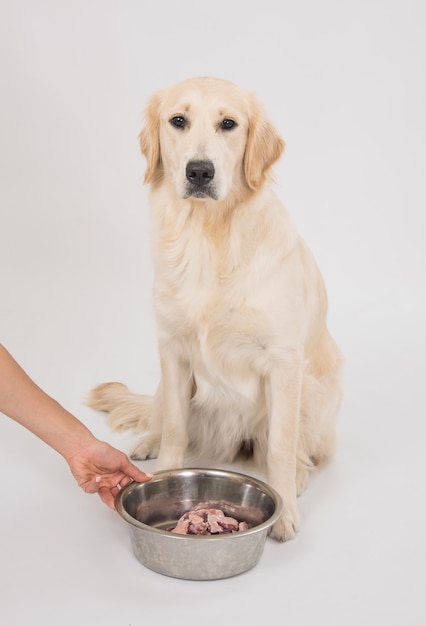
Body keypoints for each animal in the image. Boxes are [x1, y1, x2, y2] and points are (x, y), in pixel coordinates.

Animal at [88, 75, 344, 540]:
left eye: (229, 123)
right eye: (178, 121)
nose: (199, 171)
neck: (208, 235)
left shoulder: (283, 360)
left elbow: (280, 446)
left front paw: (286, 511)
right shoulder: (172, 348)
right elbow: (174, 427)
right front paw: (162, 471)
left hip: (317, 388)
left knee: (298, 448)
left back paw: (299, 473)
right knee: (162, 417)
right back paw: (148, 442)